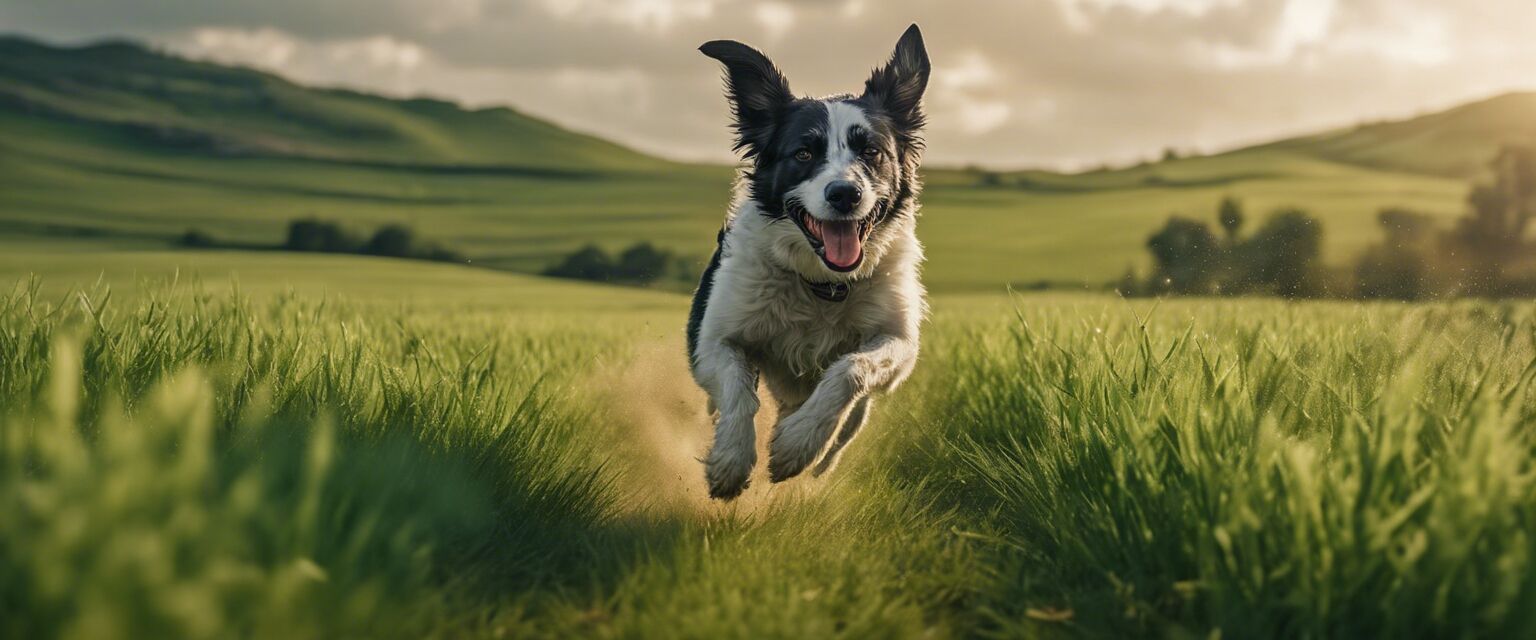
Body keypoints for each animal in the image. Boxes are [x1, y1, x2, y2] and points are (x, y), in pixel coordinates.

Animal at [691, 24, 927, 497]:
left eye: (871, 152)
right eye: (803, 153)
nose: (845, 194)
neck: (823, 285)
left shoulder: (899, 342)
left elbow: (850, 370)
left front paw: (797, 446)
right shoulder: (713, 341)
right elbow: (738, 388)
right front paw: (730, 461)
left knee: (847, 424)